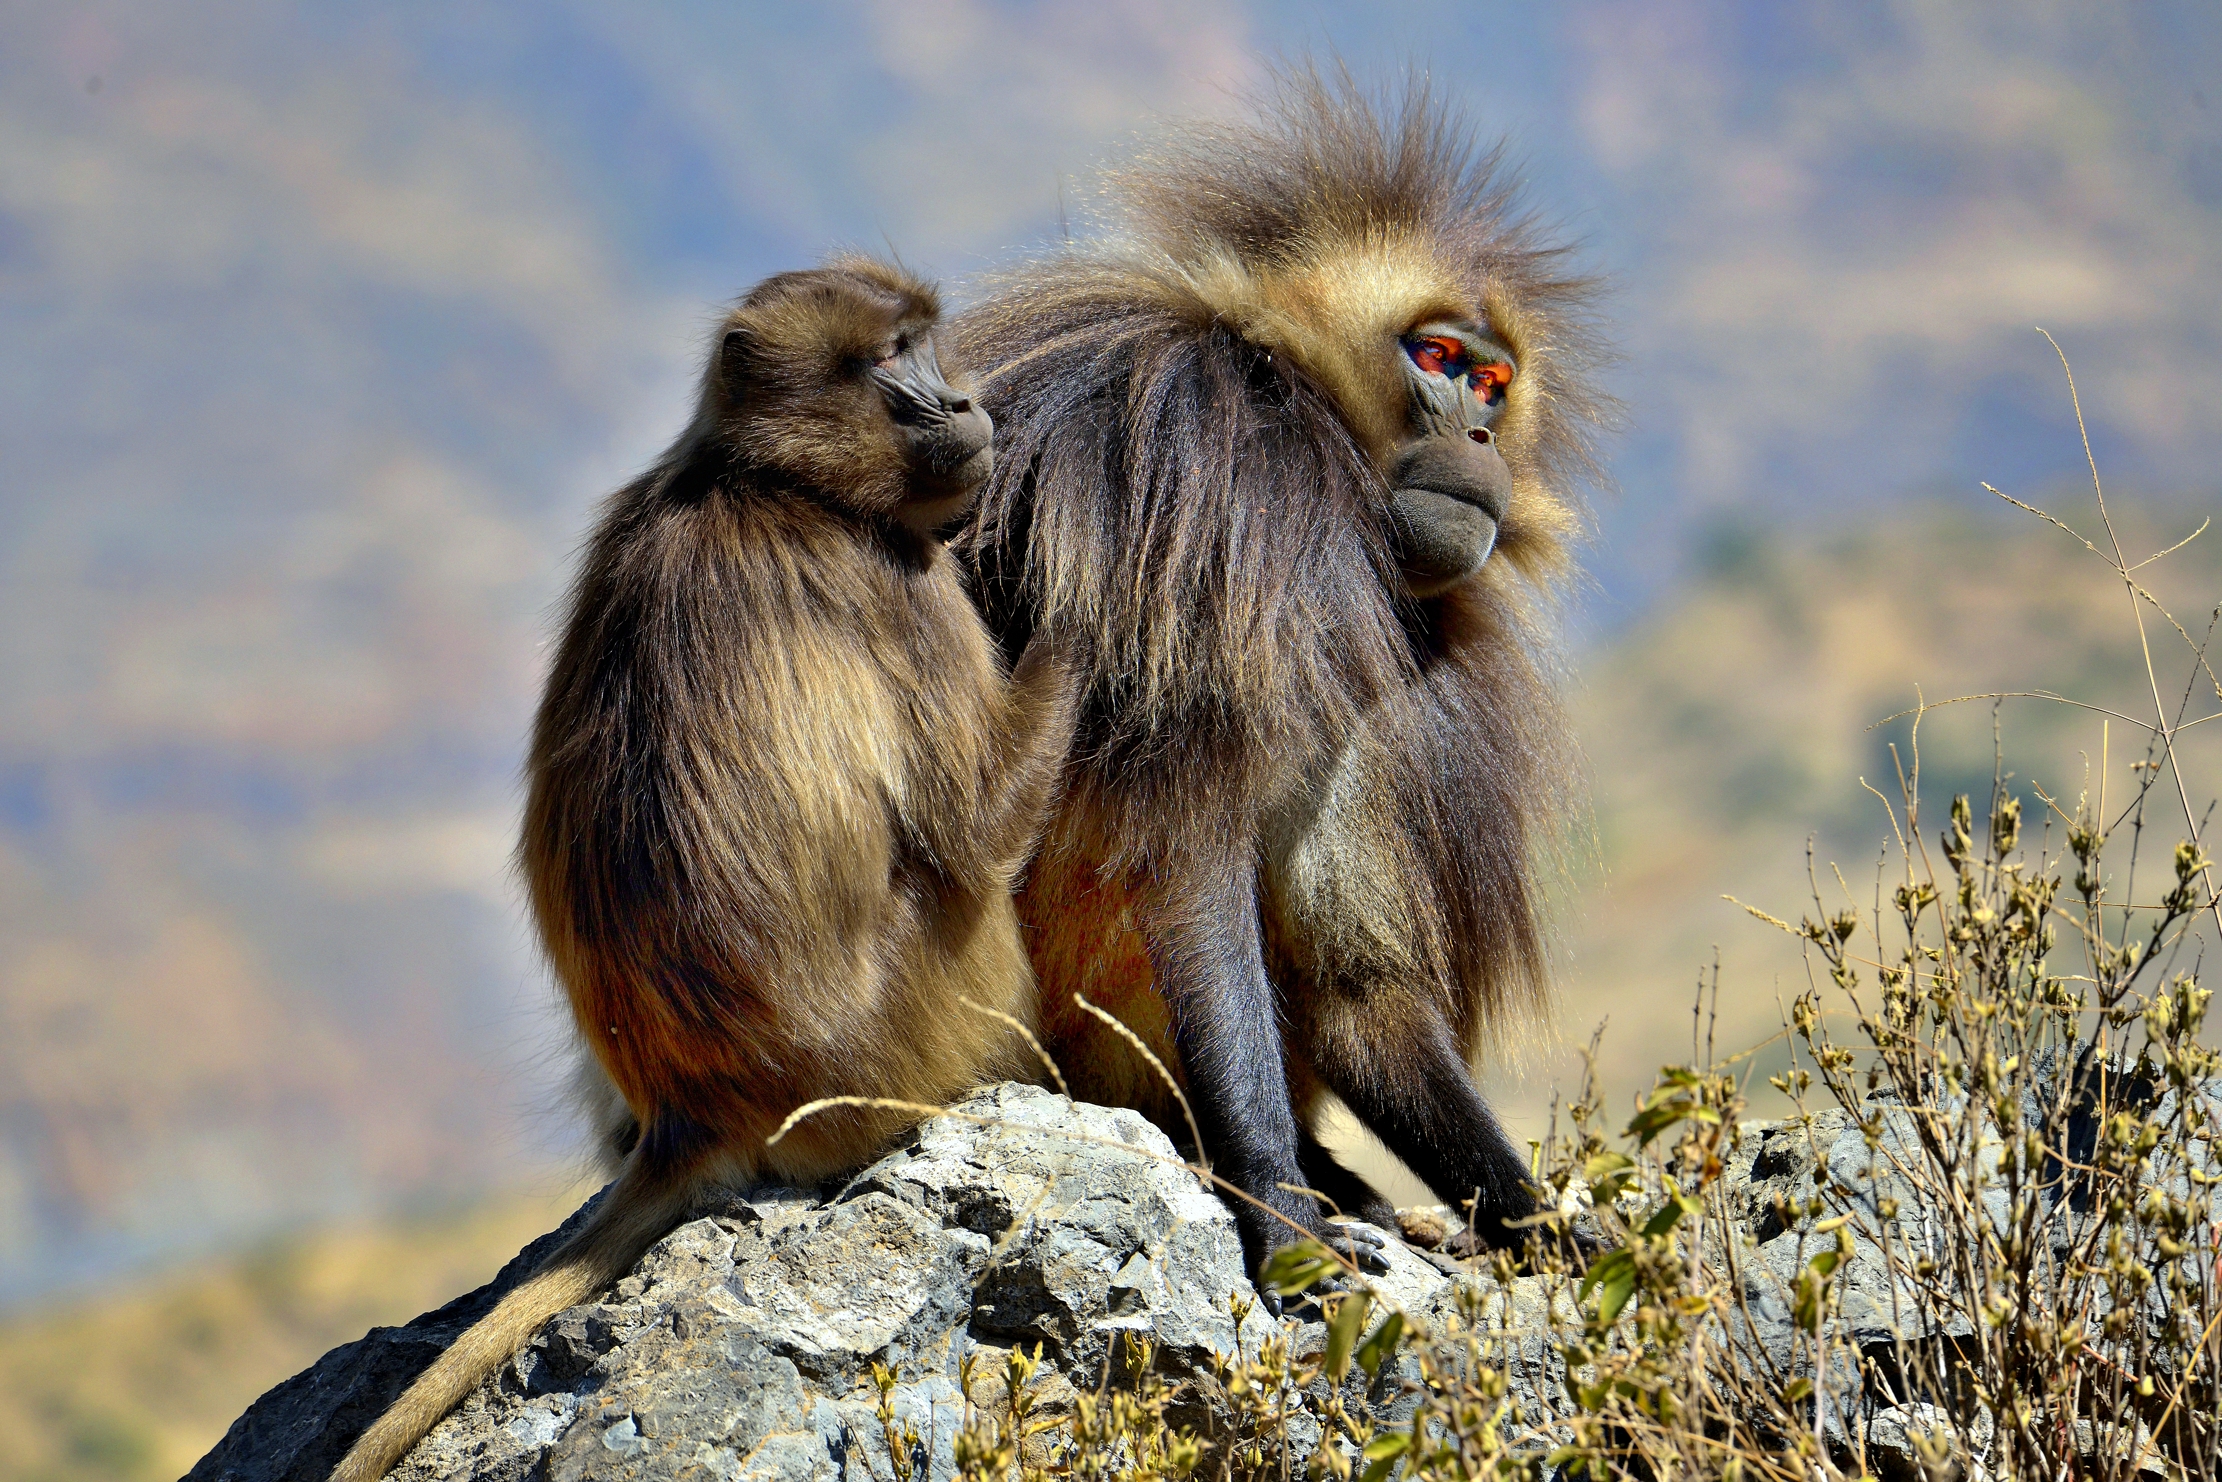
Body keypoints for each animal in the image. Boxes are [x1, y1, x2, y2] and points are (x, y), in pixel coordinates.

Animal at [330, 257, 1076, 1482]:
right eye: (891, 357)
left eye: (926, 340)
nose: (967, 406)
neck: (759, 474)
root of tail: (692, 1112)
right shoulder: (901, 581)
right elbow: (977, 827)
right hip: (922, 1028)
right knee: (964, 886)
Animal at [954, 72, 1613, 1279]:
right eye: (1437, 362)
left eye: (1495, 380)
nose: (1484, 438)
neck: (1296, 382)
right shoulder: (1234, 490)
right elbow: (1186, 854)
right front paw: (1270, 1192)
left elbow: (1363, 994)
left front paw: (1536, 1222)